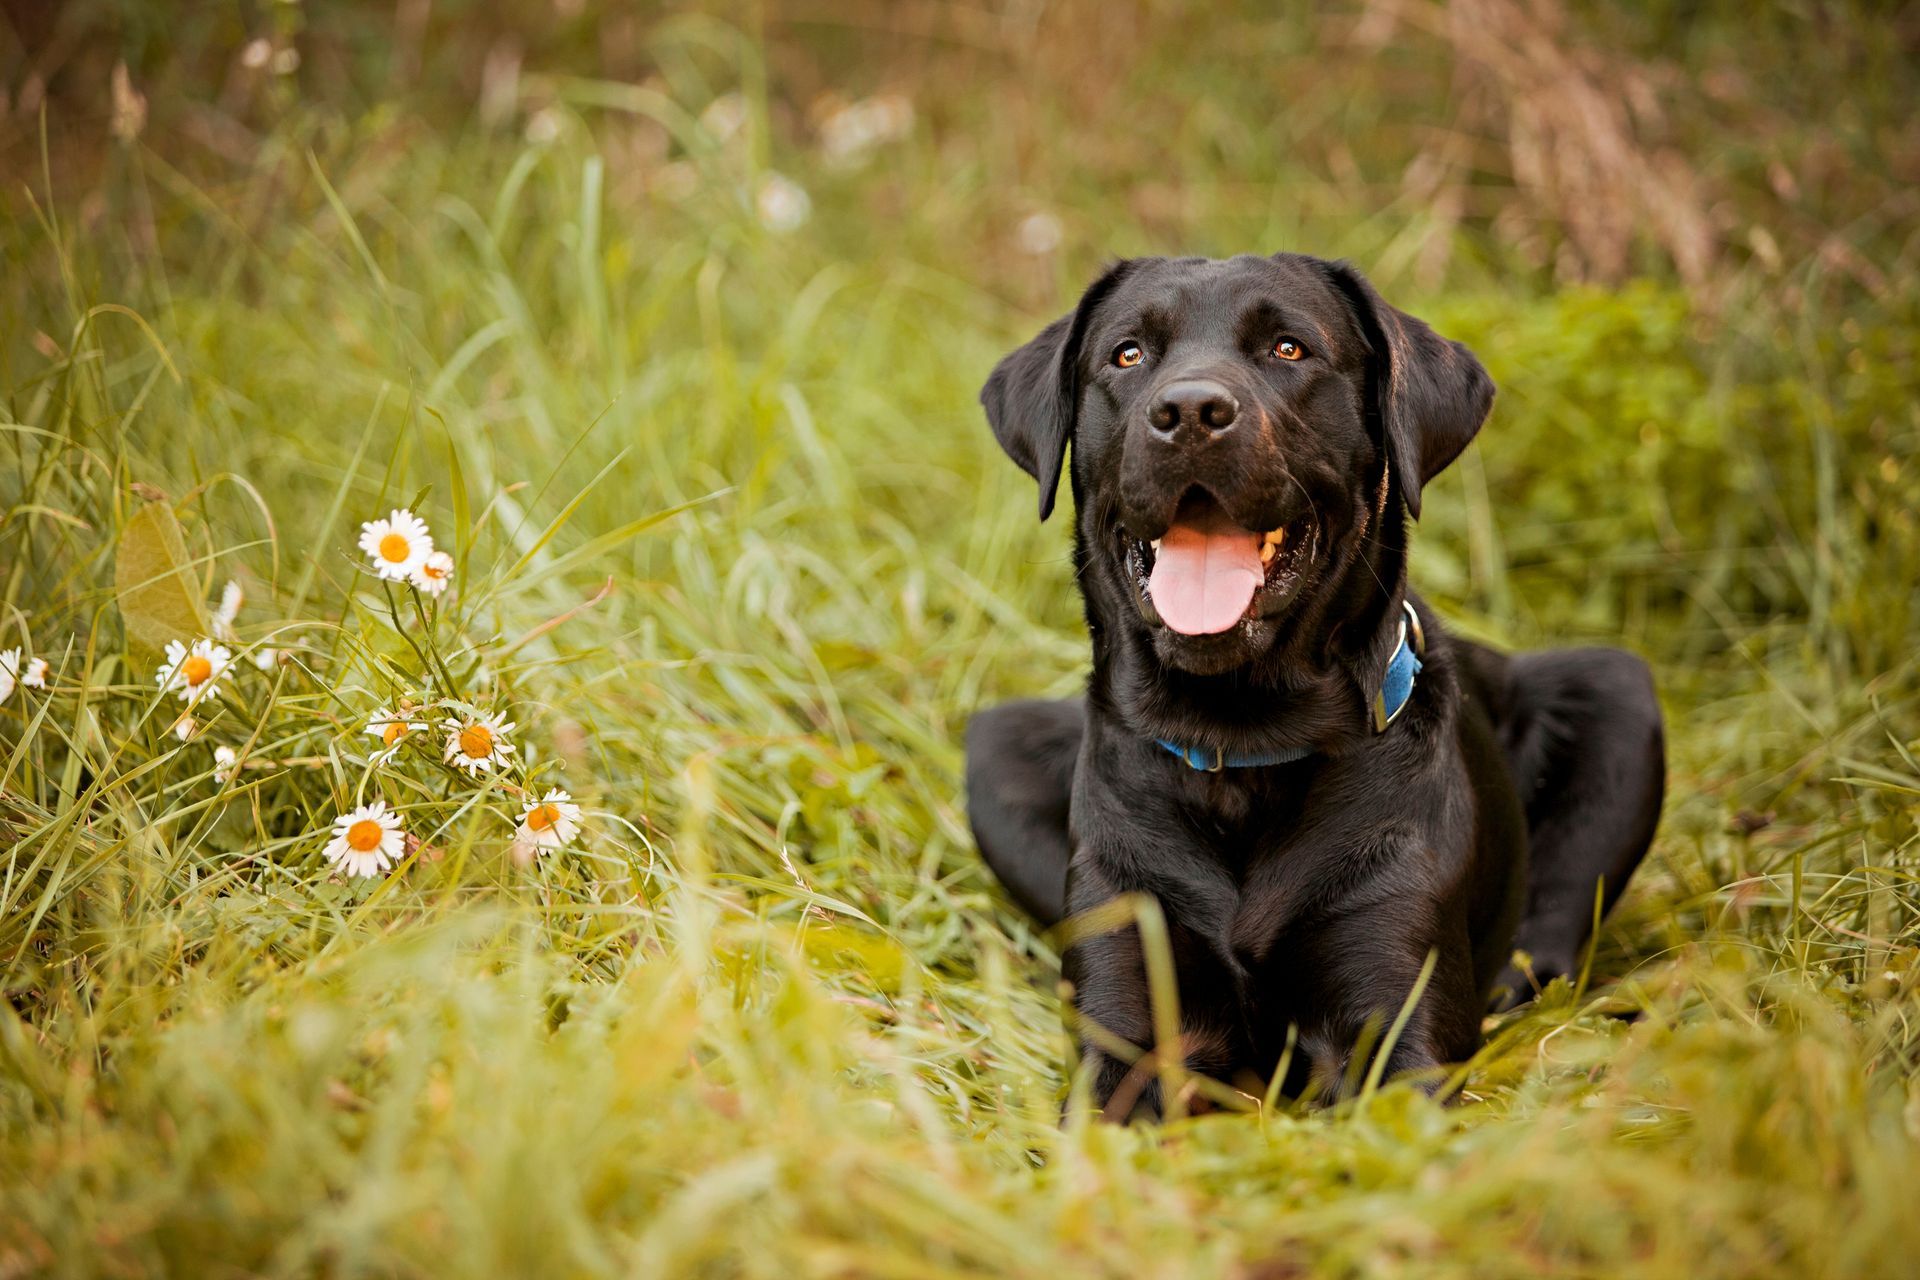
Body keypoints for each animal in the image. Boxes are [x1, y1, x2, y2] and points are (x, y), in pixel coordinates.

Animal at [967, 255, 1658, 1113]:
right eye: (1127, 355)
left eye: (1289, 348)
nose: (1189, 411)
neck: (1240, 738)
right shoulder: (1130, 1019)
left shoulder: (1394, 1022)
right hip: (995, 748)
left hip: (1619, 693)